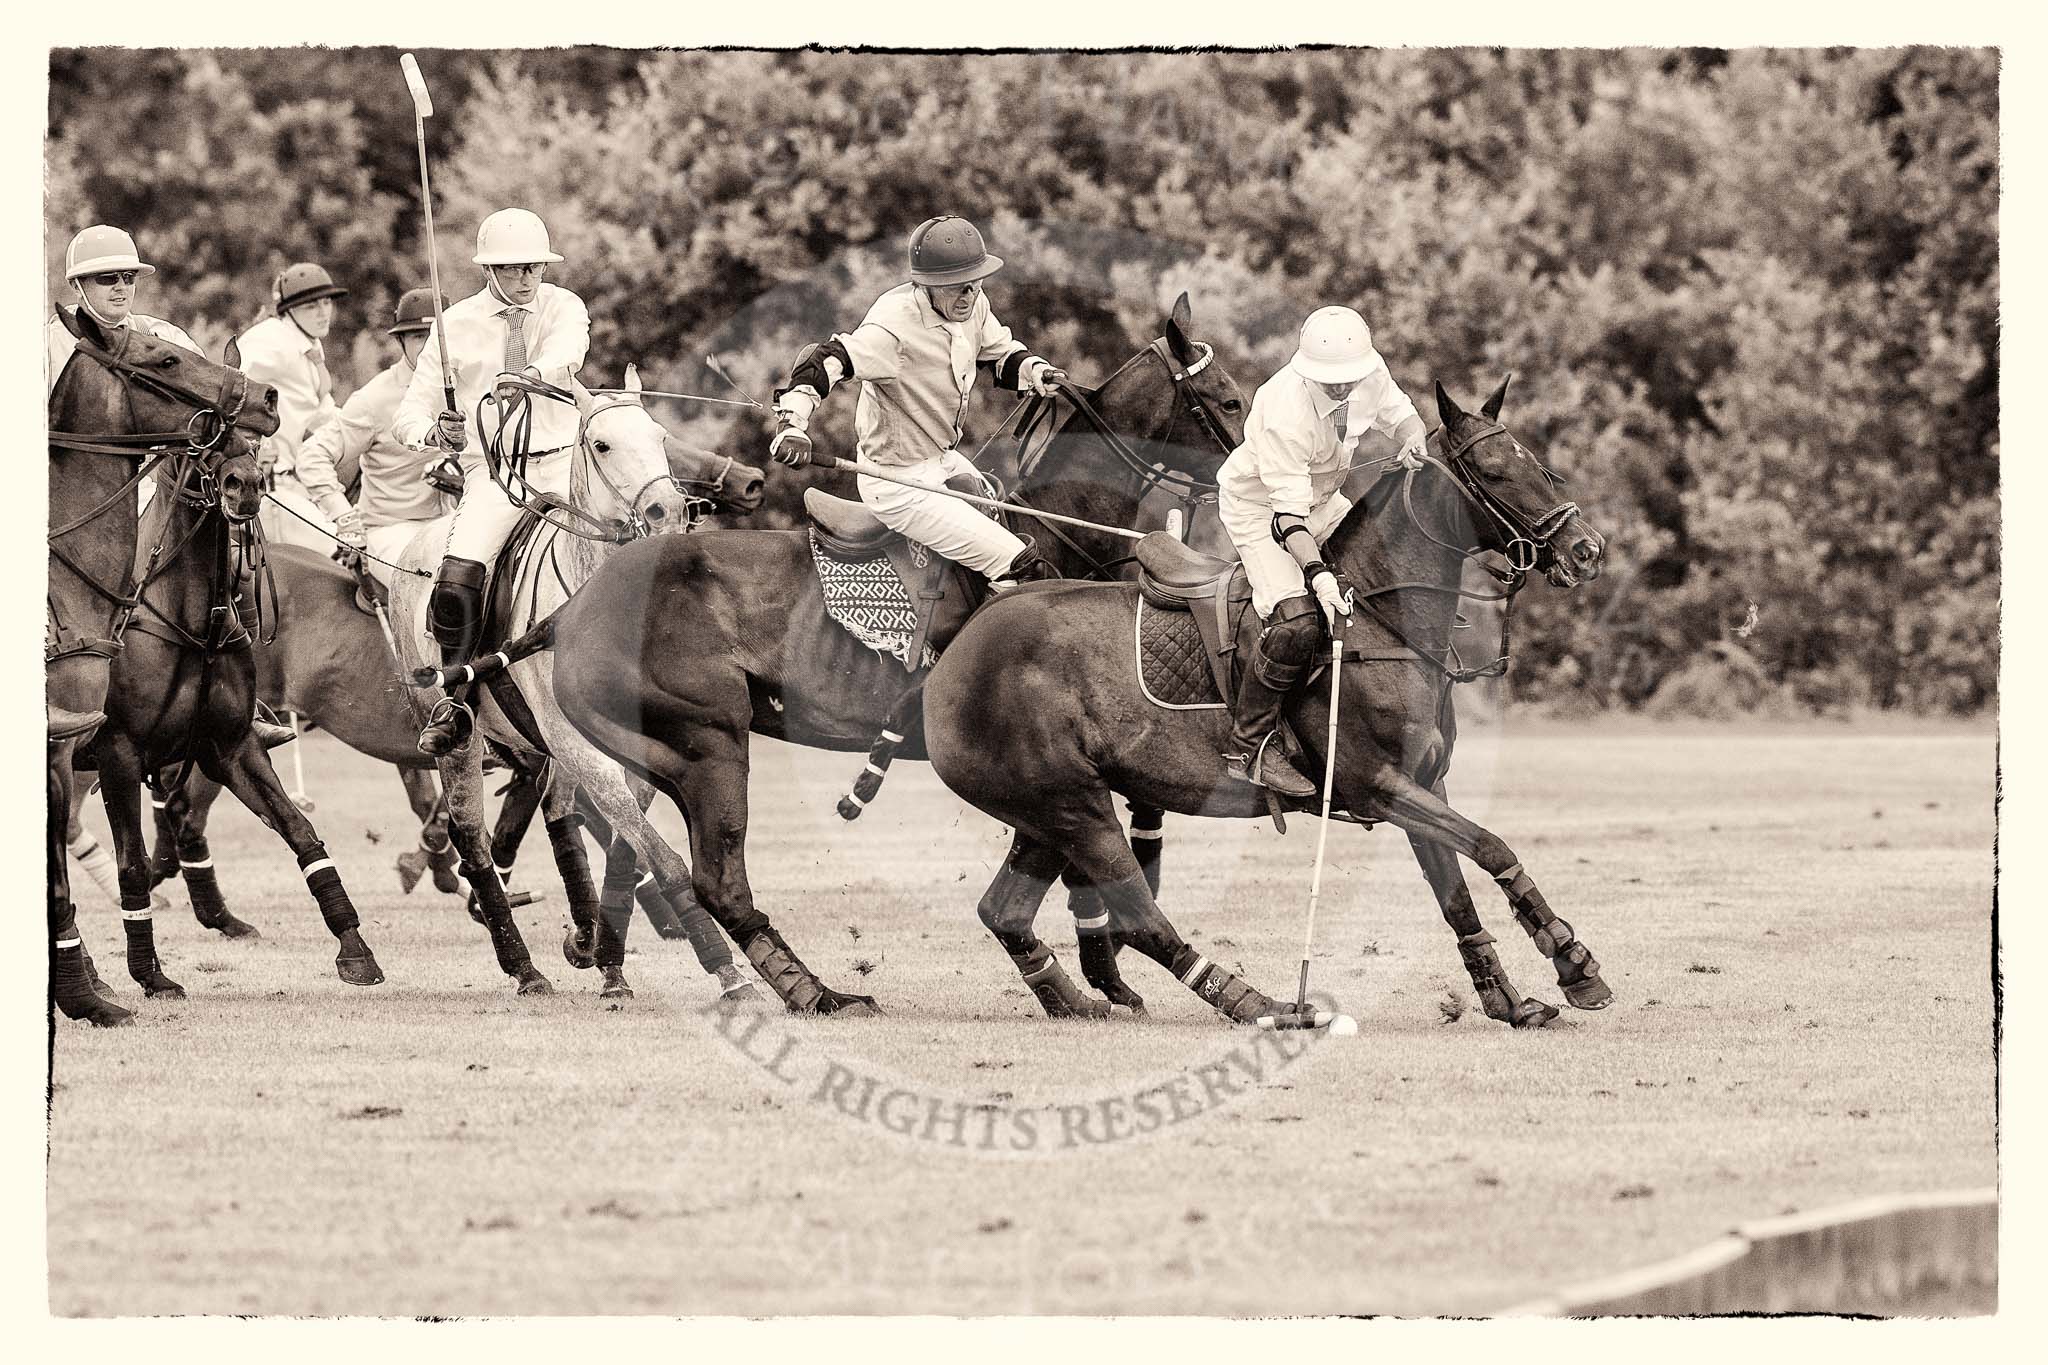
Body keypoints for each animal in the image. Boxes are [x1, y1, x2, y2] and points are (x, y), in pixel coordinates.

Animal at [45, 313, 280, 1023]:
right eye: (165, 360)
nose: (267, 399)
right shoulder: (104, 748)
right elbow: (107, 867)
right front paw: (119, 986)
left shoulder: (220, 741)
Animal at [544, 298, 1245, 1019]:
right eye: (1229, 400)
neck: (1058, 527)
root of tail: (573, 612)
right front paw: (1106, 970)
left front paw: (1104, 974)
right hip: (708, 743)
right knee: (715, 877)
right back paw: (816, 991)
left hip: (663, 755)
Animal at [929, 378, 1613, 1031]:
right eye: (1493, 471)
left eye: (1538, 464)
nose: (1587, 550)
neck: (1382, 621)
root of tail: (959, 647)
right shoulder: (1378, 786)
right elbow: (1493, 847)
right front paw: (1573, 962)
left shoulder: (1425, 783)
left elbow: (1456, 895)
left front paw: (1511, 998)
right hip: (1076, 807)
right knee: (1139, 918)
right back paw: (1264, 1003)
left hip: (1043, 812)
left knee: (1005, 910)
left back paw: (1077, 1001)